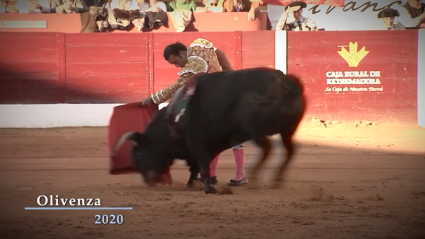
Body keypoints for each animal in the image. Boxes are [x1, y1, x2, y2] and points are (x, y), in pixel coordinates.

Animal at [112, 67, 304, 194]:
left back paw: (256, 178)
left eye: (139, 154)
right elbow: (197, 166)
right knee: (289, 150)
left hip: (253, 127)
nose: (147, 181)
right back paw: (276, 180)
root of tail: (287, 83)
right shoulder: (209, 146)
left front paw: (209, 188)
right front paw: (194, 184)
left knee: (268, 148)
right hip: (288, 130)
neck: (172, 121)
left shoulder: (198, 143)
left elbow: (202, 164)